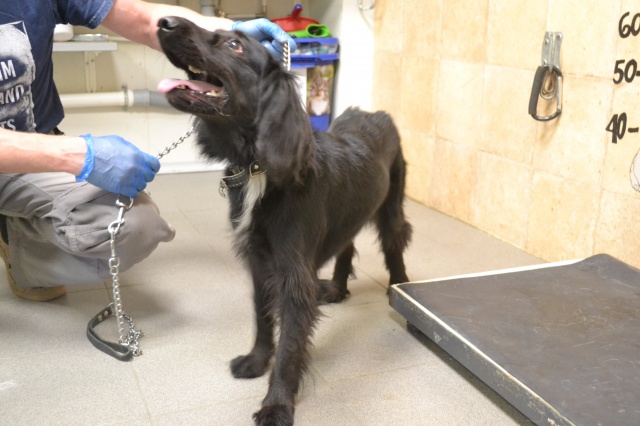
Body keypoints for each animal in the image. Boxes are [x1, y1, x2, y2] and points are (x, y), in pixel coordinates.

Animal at [157, 17, 412, 426]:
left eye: (235, 45)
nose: (163, 22)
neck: (257, 167)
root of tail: (376, 113)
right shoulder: (260, 264)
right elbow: (263, 321)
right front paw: (256, 361)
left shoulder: (293, 278)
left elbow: (290, 347)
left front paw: (277, 404)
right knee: (347, 245)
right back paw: (337, 288)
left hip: (391, 208)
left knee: (395, 246)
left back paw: (401, 290)